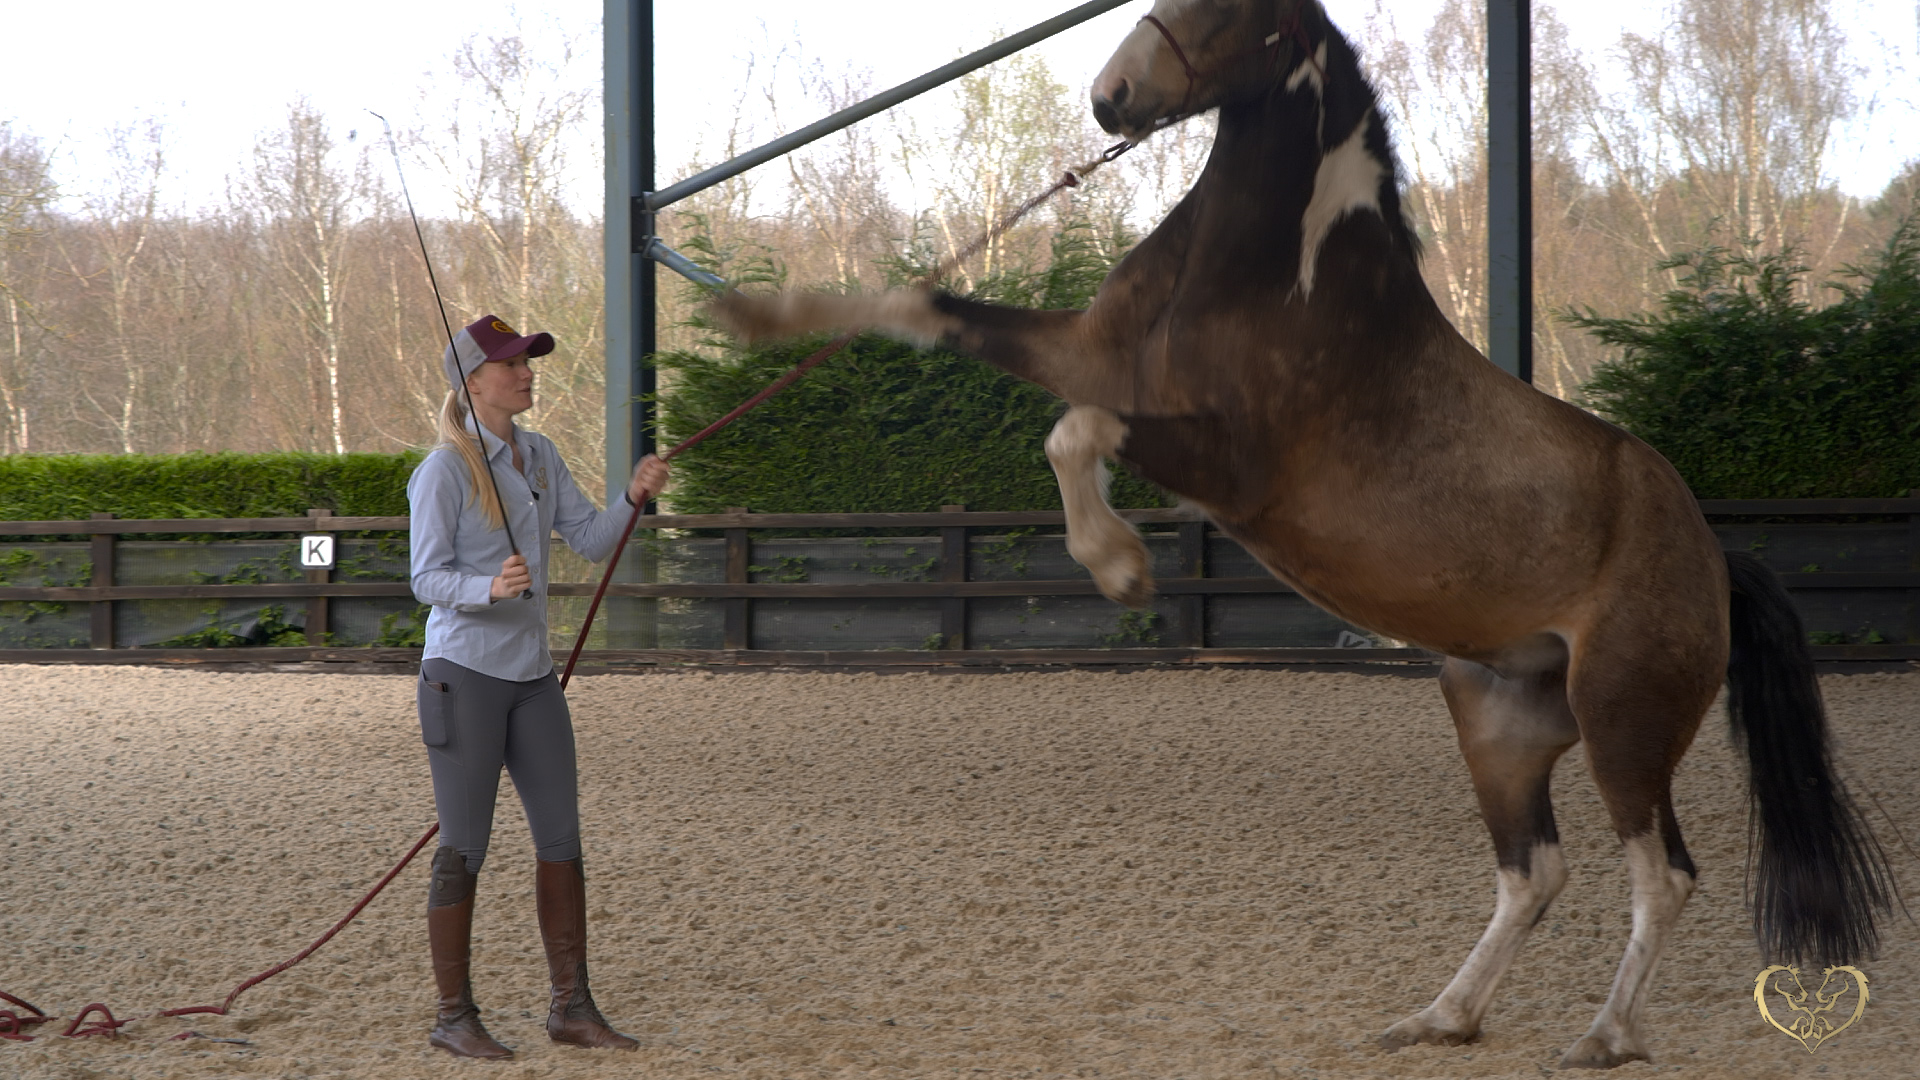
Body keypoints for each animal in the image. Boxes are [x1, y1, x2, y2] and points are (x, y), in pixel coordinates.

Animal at [710, 0, 1896, 1067]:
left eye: (1228, 5)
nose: (1112, 98)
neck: (1285, 273)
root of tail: (1712, 558)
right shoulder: (1087, 353)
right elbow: (927, 310)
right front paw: (759, 318)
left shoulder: (1229, 464)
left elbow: (1074, 430)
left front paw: (1120, 568)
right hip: (1499, 722)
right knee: (1535, 874)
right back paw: (1441, 1019)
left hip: (1624, 720)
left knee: (1662, 874)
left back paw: (1604, 1035)